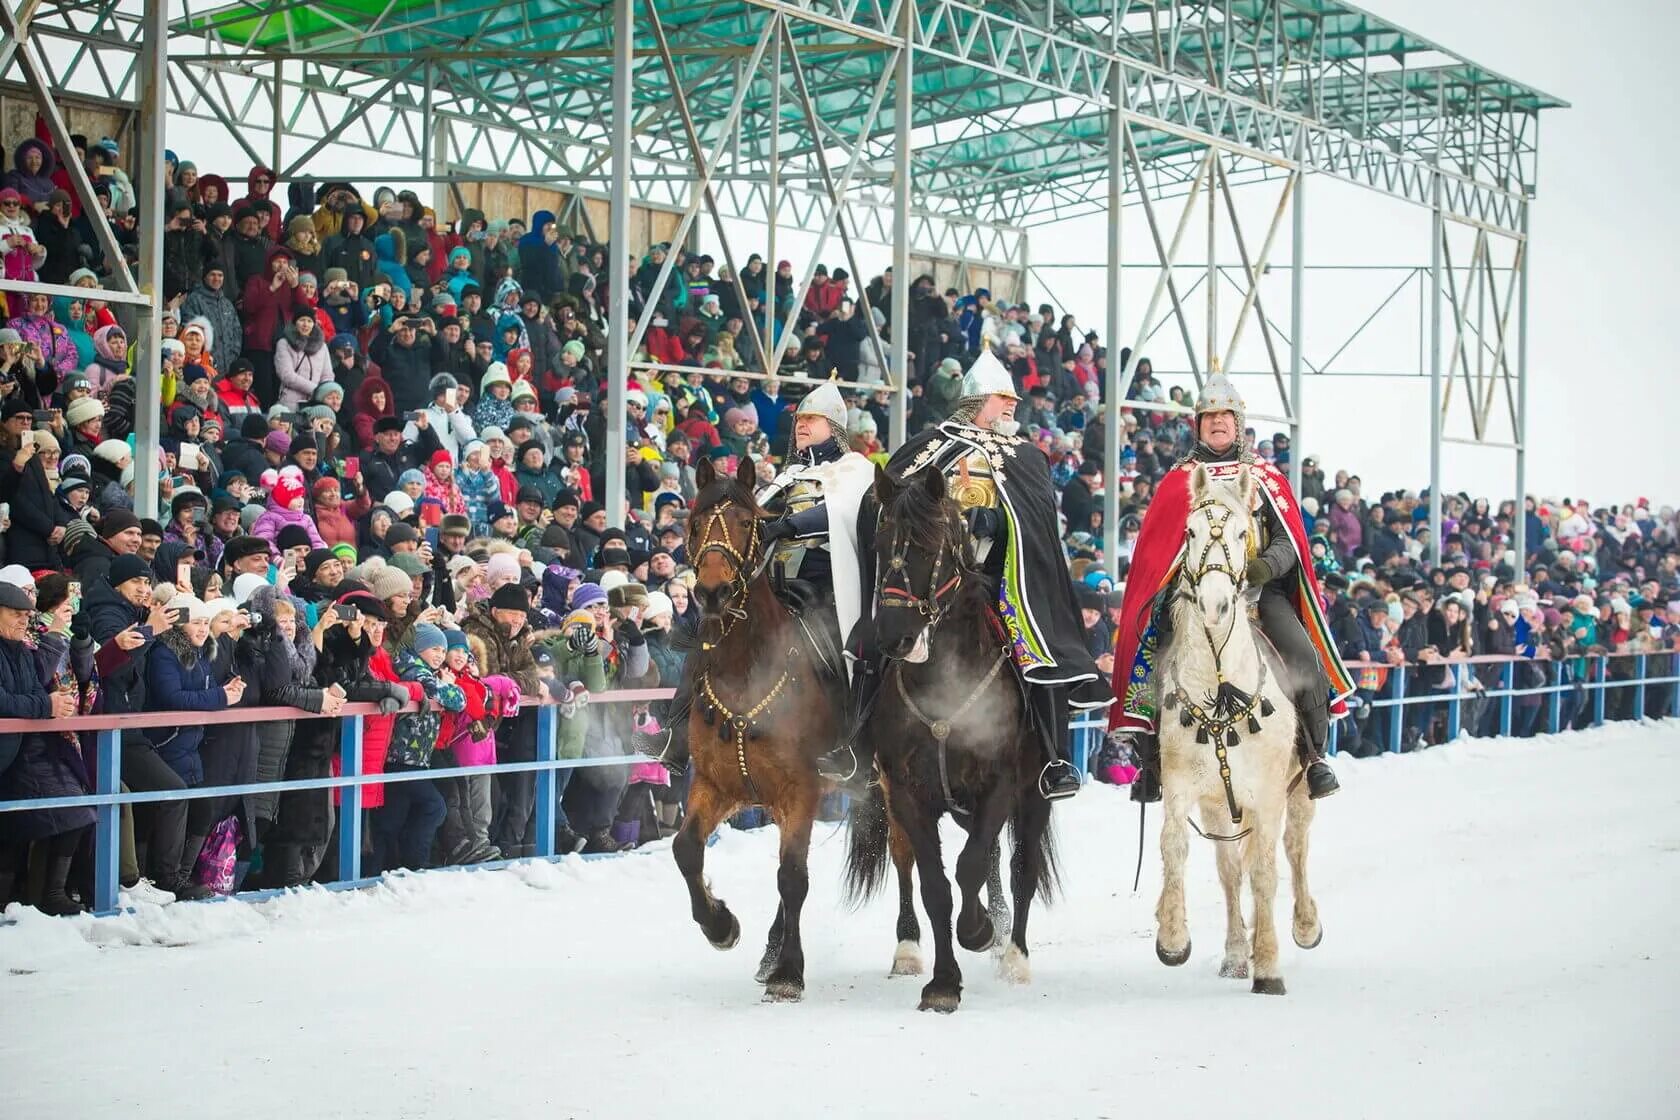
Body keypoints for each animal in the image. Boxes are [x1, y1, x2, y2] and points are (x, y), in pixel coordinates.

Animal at [668, 453, 853, 1000]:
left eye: (747, 522)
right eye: (695, 522)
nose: (713, 592)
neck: (747, 667)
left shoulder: (802, 790)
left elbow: (792, 877)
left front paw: (789, 973)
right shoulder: (718, 785)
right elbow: (686, 849)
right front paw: (720, 925)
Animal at [846, 463, 1055, 1014]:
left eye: (928, 544)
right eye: (880, 542)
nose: (893, 635)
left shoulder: (1000, 786)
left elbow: (970, 868)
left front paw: (978, 931)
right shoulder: (908, 793)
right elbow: (936, 884)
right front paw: (943, 982)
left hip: (1034, 795)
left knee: (1021, 867)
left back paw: (1013, 954)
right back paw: (913, 948)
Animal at [1155, 463, 1323, 1000]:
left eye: (1239, 532)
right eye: (1189, 532)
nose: (1214, 604)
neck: (1221, 685)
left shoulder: (1268, 794)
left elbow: (1267, 873)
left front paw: (1268, 967)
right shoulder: (1182, 786)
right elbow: (1175, 846)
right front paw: (1172, 938)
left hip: (1299, 790)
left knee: (1294, 849)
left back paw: (1305, 927)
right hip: (1218, 806)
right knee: (1230, 870)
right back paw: (1233, 955)